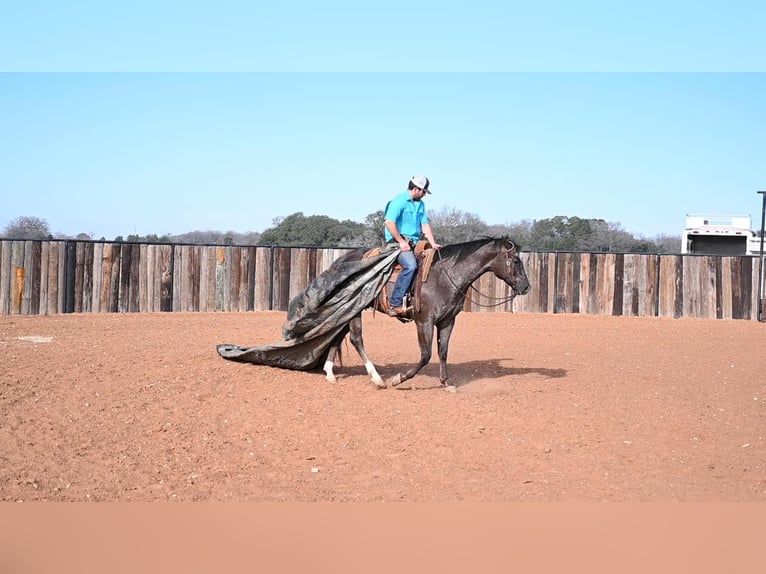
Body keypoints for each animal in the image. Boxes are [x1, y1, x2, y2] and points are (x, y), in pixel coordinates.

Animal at [322, 235, 531, 389]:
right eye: (515, 260)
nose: (526, 287)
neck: (445, 276)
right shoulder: (424, 321)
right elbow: (425, 355)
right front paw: (399, 378)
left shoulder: (447, 321)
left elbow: (443, 351)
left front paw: (446, 382)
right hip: (354, 310)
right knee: (356, 339)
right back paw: (377, 379)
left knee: (338, 335)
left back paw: (330, 373)